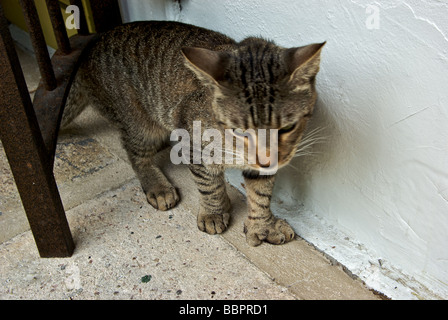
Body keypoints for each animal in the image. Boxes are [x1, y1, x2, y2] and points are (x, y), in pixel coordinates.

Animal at [63, 21, 324, 246]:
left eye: (287, 128)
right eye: (240, 131)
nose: (267, 159)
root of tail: (89, 47)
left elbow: (261, 194)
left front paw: (263, 225)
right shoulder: (193, 147)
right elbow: (209, 185)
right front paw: (213, 212)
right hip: (138, 123)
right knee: (136, 155)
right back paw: (157, 186)